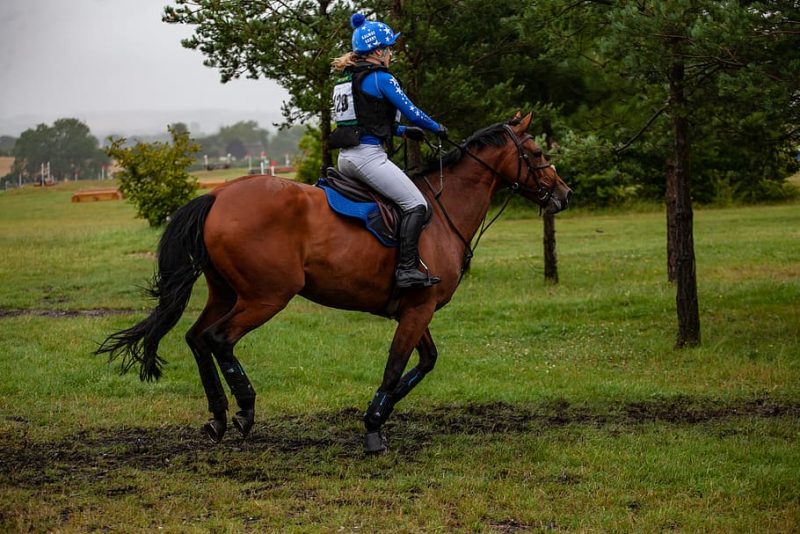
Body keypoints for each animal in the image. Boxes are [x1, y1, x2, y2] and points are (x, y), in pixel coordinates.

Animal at [97, 112, 572, 452]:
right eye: (535, 151)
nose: (564, 194)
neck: (442, 211)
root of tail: (217, 195)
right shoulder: (417, 310)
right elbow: (396, 364)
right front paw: (374, 427)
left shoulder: (415, 309)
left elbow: (424, 363)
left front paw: (381, 413)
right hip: (266, 296)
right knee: (218, 338)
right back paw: (244, 411)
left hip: (226, 291)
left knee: (196, 338)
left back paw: (216, 416)